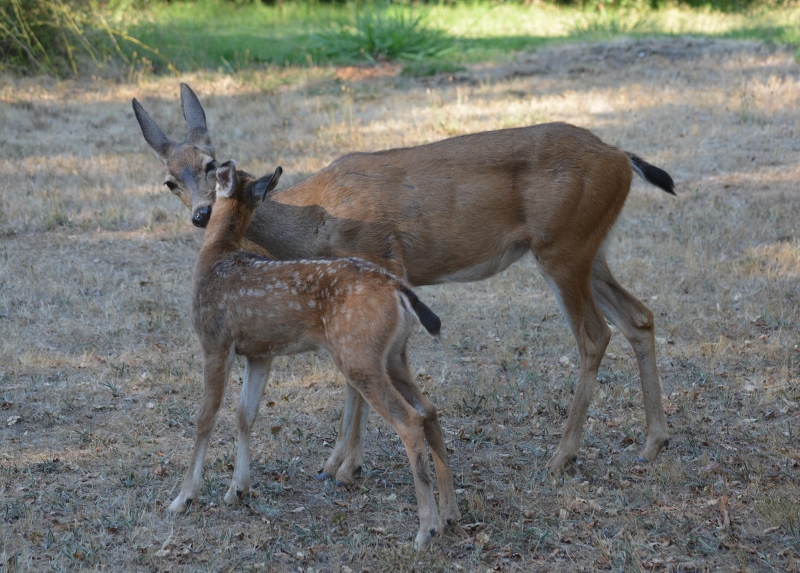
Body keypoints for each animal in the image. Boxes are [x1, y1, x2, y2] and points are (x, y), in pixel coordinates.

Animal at [133, 82, 676, 484]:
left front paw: (346, 465)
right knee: (639, 316)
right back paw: (653, 442)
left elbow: (360, 377)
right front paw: (336, 461)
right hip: (591, 246)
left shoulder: (380, 258)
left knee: (594, 334)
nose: (203, 214)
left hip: (562, 246)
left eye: (210, 164)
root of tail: (620, 156)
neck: (315, 223)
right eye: (170, 181)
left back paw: (562, 455)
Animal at [177, 158, 460, 548]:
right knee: (429, 410)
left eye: (210, 180)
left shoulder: (215, 339)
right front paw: (237, 490)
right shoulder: (260, 352)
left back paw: (424, 530)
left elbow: (205, 416)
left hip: (358, 355)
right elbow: (245, 414)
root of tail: (398, 289)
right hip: (391, 356)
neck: (217, 257)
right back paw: (449, 517)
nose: (197, 215)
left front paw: (184, 497)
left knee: (409, 420)